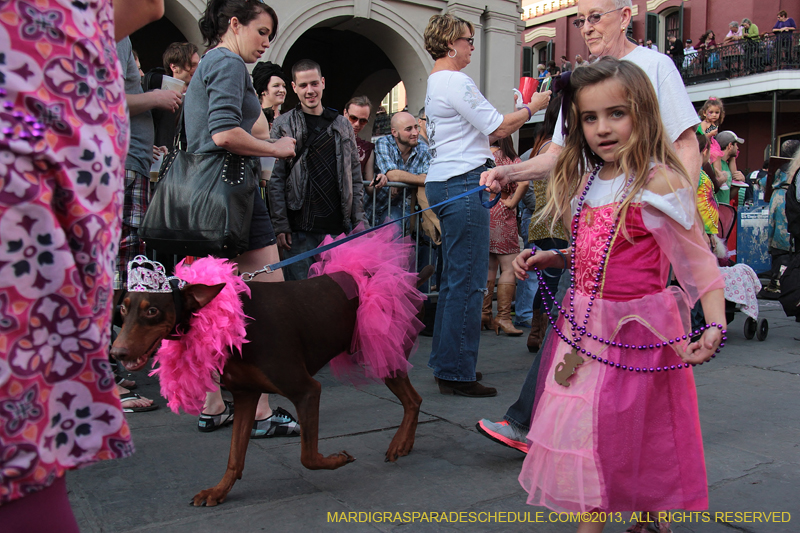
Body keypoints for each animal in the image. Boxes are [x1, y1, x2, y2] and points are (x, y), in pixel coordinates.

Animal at [111, 264, 432, 504]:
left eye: (152, 311)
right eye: (123, 309)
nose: (116, 353)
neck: (228, 320)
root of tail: (407, 279)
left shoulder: (306, 391)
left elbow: (308, 457)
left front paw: (337, 460)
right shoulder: (245, 395)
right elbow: (235, 455)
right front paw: (219, 490)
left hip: (385, 352)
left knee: (412, 400)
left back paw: (399, 444)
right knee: (413, 400)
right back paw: (404, 445)